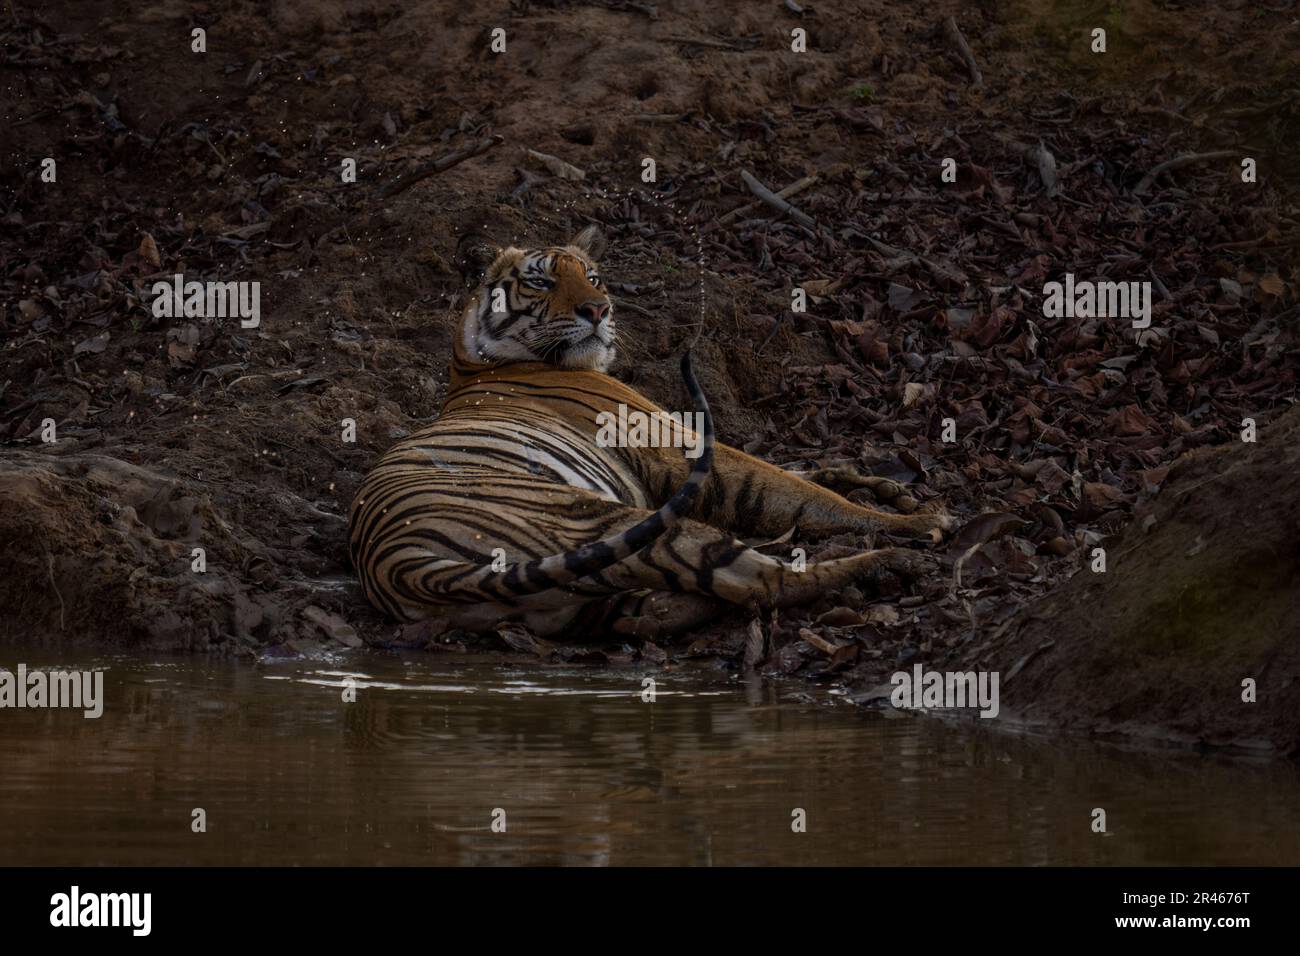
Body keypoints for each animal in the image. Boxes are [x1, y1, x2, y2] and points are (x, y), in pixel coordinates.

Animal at [348, 225, 954, 639]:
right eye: (542, 281)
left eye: (592, 276)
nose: (599, 309)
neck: (473, 363)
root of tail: (398, 564)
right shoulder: (669, 444)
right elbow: (787, 488)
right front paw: (916, 520)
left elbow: (801, 471)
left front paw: (889, 488)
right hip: (603, 523)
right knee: (760, 580)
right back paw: (886, 563)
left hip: (578, 600)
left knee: (657, 607)